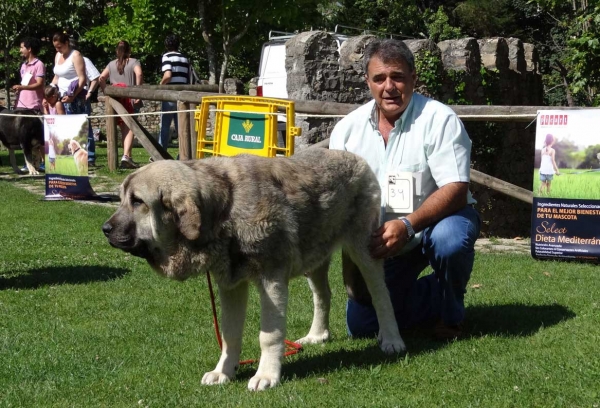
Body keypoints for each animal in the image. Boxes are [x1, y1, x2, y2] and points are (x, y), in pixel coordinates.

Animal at [102, 148, 404, 390]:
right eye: (121, 199)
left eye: (138, 201)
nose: (105, 228)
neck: (224, 212)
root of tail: (355, 157)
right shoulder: (230, 285)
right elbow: (229, 334)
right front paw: (223, 372)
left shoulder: (272, 281)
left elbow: (268, 336)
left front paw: (266, 376)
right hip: (315, 258)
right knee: (323, 295)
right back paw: (317, 335)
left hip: (364, 250)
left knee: (381, 295)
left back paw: (391, 339)